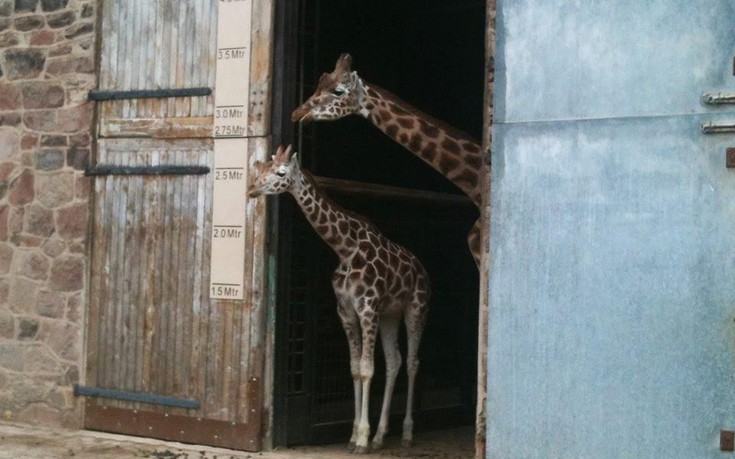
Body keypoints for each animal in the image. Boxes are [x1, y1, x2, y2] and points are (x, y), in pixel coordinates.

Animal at [249, 146, 432, 452]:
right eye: (260, 168)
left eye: (281, 173)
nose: (251, 189)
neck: (345, 250)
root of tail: (422, 269)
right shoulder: (346, 312)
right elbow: (355, 369)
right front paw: (356, 435)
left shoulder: (367, 308)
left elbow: (368, 369)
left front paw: (362, 439)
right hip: (390, 314)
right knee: (394, 360)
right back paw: (381, 436)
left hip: (415, 309)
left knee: (412, 362)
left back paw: (407, 434)